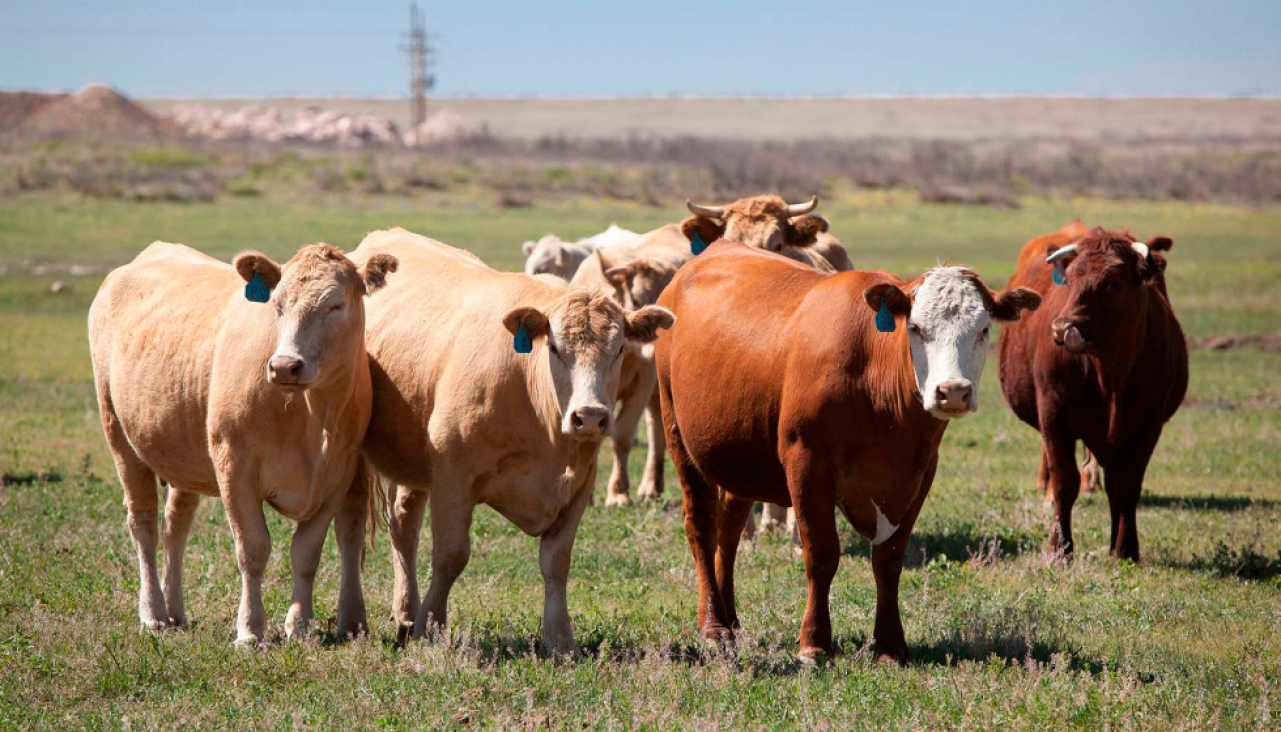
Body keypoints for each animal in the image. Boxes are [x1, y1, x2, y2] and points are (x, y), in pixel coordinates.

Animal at [88, 242, 394, 646]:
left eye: (335, 305)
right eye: (277, 305)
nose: (284, 366)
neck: (310, 414)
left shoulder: (337, 477)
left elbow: (306, 552)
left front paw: (300, 625)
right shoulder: (235, 466)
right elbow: (253, 548)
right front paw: (250, 630)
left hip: (184, 453)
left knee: (175, 525)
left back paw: (175, 612)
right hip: (119, 436)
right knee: (144, 524)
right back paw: (152, 613)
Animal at [345, 228, 676, 653]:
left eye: (619, 349)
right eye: (555, 348)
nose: (589, 417)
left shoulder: (580, 482)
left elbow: (556, 561)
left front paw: (560, 638)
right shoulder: (453, 476)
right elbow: (450, 555)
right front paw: (431, 627)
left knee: (403, 525)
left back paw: (405, 612)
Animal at [994, 223, 1183, 561]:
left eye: (1115, 282)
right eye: (1069, 280)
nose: (1063, 327)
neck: (1109, 373)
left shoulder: (1148, 425)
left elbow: (1127, 488)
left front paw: (1125, 550)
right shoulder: (1053, 417)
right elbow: (1065, 483)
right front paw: (1059, 550)